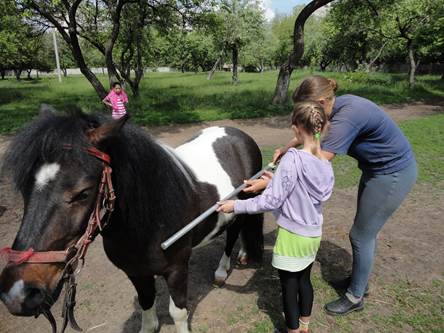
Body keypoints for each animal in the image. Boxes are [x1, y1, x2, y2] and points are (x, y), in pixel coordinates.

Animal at [0, 106, 264, 332]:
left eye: (83, 193)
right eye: (24, 188)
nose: (18, 293)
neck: (150, 222)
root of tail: (238, 134)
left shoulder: (178, 268)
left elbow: (178, 312)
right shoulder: (135, 272)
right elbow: (146, 304)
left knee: (233, 234)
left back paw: (222, 270)